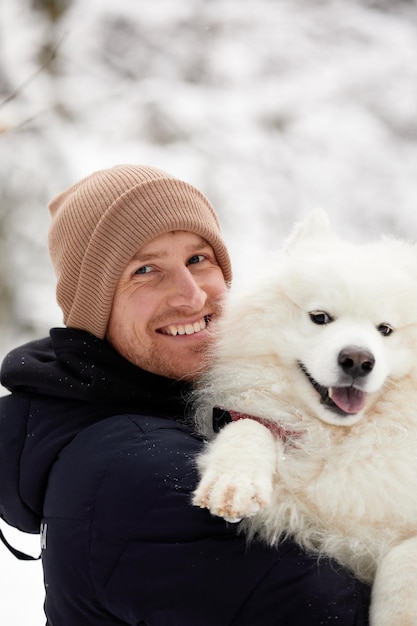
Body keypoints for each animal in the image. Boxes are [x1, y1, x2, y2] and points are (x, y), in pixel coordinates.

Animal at [193, 211, 416, 624]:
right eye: (320, 317)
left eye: (386, 330)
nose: (358, 360)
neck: (335, 439)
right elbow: (249, 425)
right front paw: (234, 482)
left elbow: (402, 566)